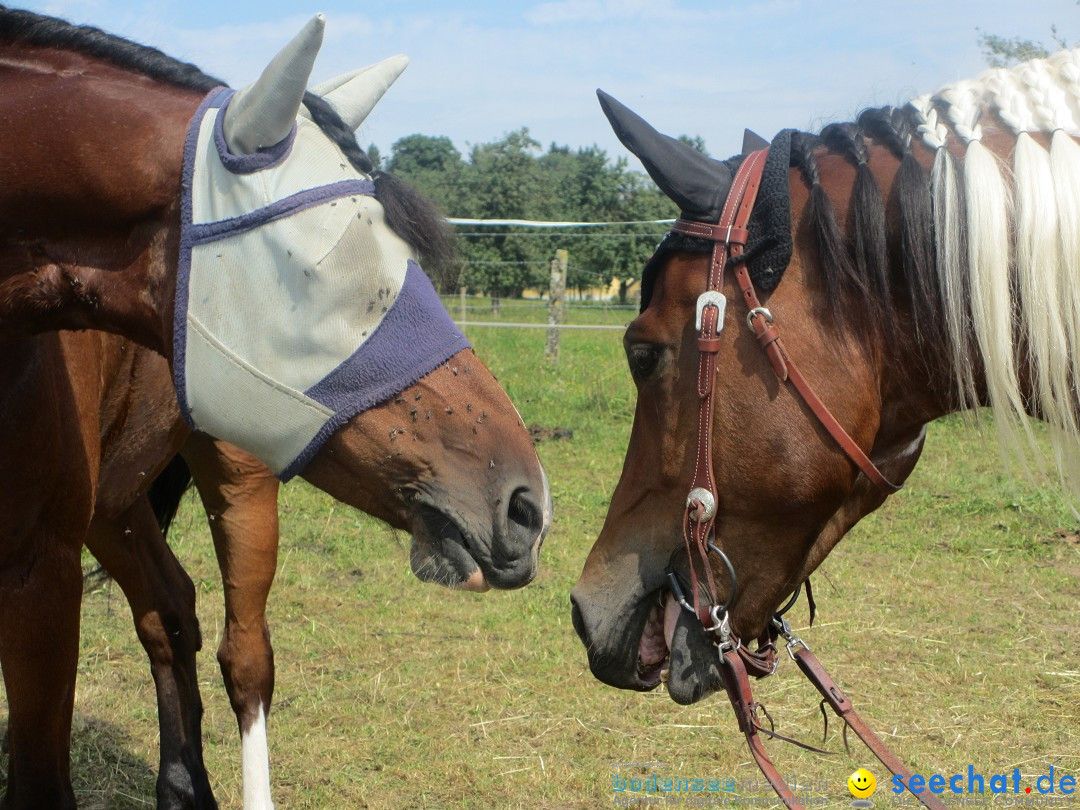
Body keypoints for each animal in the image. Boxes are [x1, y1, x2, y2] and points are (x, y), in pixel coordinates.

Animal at [0, 7, 552, 810]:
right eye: (337, 264)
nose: (525, 505)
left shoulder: (41, 572)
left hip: (229, 482)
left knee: (242, 657)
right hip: (115, 503)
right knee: (168, 611)